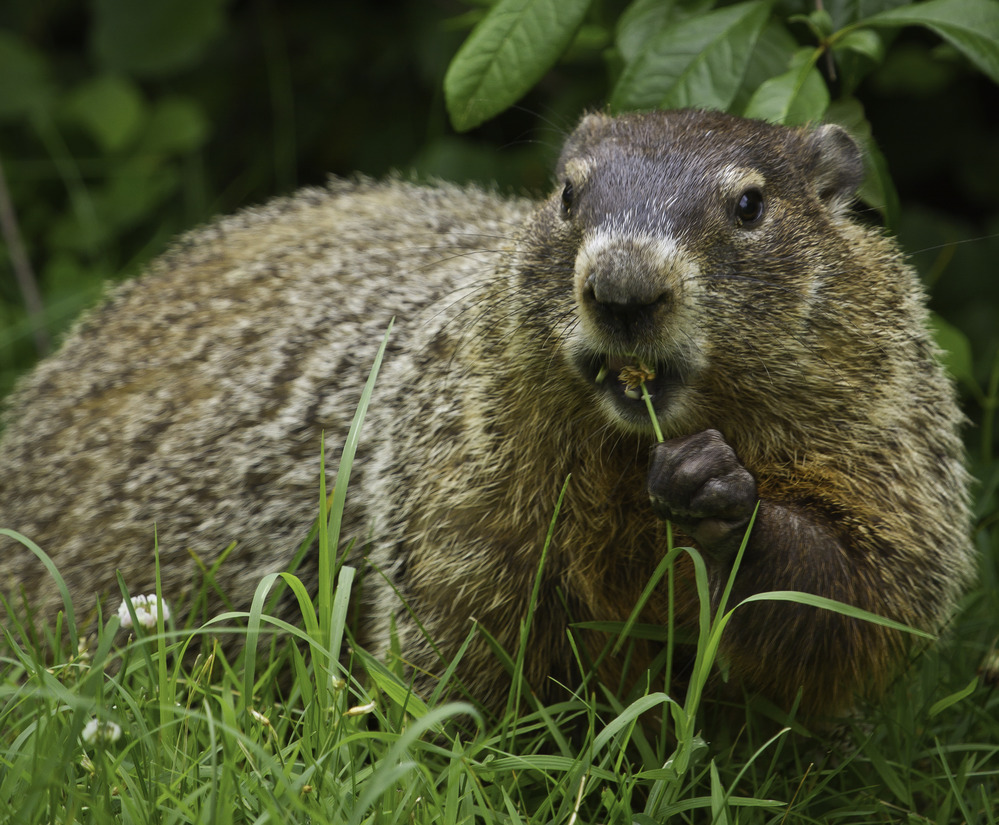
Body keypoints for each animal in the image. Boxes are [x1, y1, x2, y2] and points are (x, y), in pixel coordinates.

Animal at [0, 109, 975, 719]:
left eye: (748, 204)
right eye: (567, 196)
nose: (622, 285)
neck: (626, 454)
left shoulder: (878, 408)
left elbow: (874, 579)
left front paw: (720, 494)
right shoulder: (463, 454)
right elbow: (461, 613)